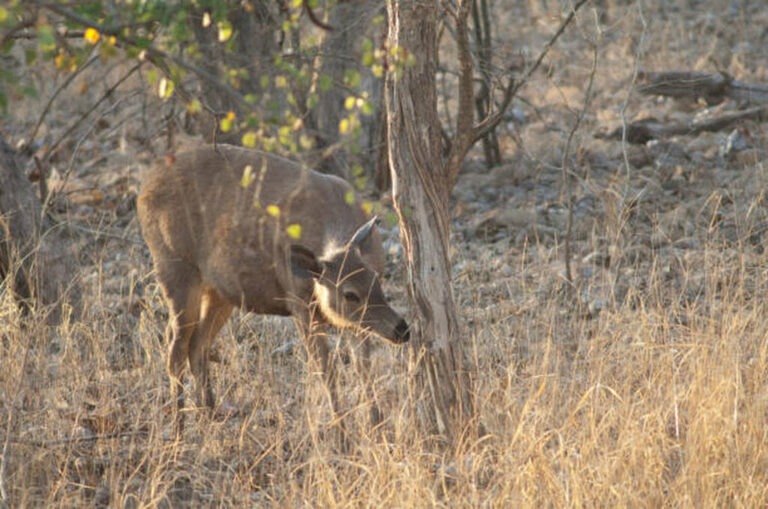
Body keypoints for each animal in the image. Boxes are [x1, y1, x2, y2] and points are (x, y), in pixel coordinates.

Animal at [137, 144, 409, 434]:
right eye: (349, 294)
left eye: (376, 280)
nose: (401, 329)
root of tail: (143, 192)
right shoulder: (299, 302)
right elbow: (327, 369)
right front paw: (342, 433)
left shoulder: (353, 322)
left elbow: (364, 367)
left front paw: (377, 427)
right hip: (174, 266)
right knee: (175, 346)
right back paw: (179, 426)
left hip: (220, 291)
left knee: (197, 344)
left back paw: (208, 414)